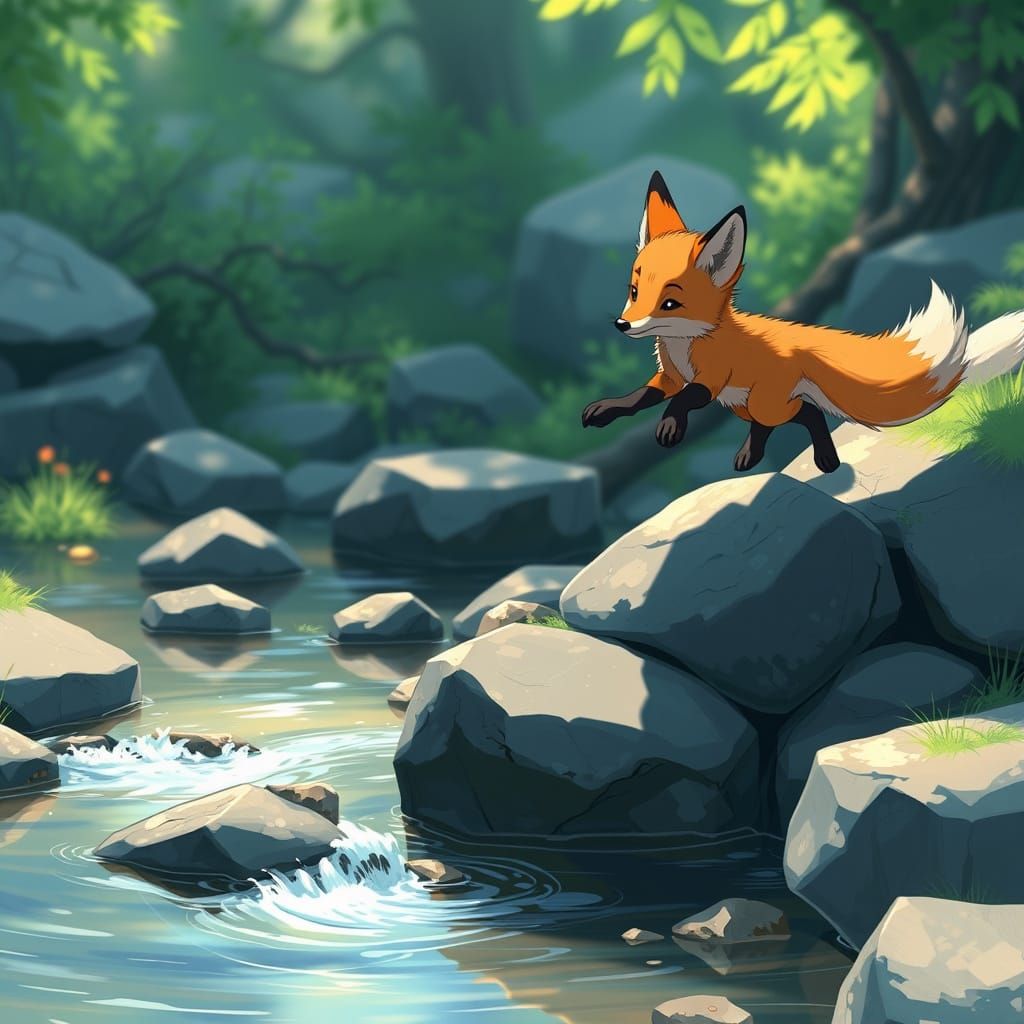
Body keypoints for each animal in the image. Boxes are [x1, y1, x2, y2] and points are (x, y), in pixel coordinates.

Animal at [582, 170, 1024, 473]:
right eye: (634, 291)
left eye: (670, 302)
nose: (623, 325)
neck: (685, 344)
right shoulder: (671, 376)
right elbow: (642, 396)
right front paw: (606, 409)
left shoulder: (711, 379)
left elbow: (683, 400)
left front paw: (670, 426)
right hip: (746, 406)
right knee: (803, 414)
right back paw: (806, 458)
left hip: (757, 403)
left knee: (797, 416)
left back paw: (786, 456)